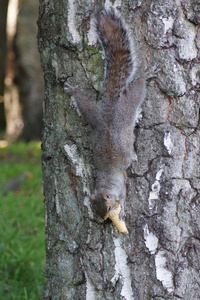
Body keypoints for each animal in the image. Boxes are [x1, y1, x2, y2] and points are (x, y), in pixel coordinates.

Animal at [64, 8, 158, 221]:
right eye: (96, 207)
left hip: (127, 107)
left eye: (107, 208)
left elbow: (123, 197)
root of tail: (110, 110)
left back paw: (144, 76)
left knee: (136, 90)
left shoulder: (121, 187)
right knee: (85, 104)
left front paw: (121, 210)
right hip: (94, 116)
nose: (105, 220)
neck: (107, 179)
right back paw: (74, 91)